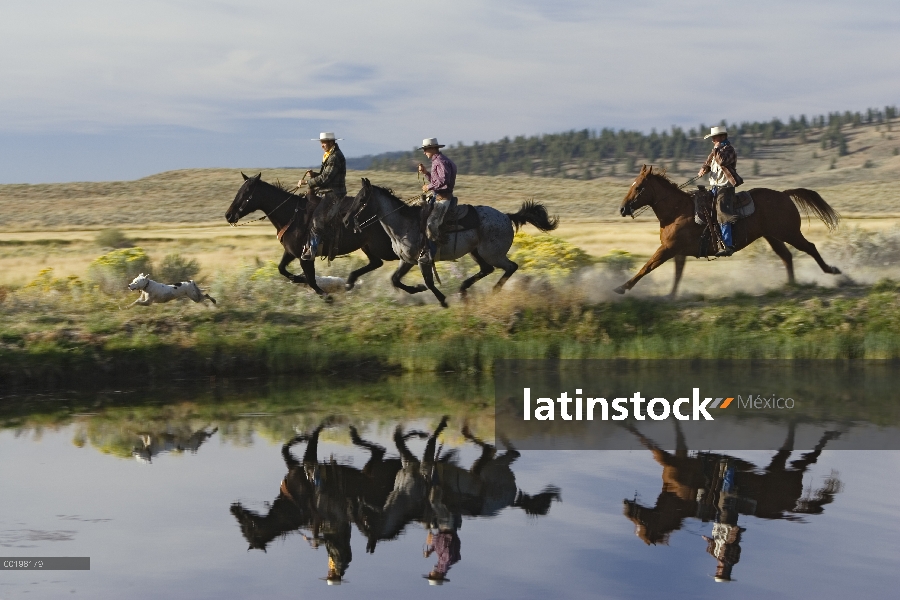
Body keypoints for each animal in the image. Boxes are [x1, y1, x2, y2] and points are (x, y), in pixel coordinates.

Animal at [344, 177, 556, 308]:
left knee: (511, 267)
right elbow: (395, 279)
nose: (346, 221)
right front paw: (417, 289)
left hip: (493, 254)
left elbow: (429, 282)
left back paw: (493, 291)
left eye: (362, 200)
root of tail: (507, 216)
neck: (404, 224)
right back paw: (463, 290)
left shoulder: (423, 260)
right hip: (476, 252)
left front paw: (443, 300)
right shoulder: (407, 261)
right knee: (487, 269)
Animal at [616, 165, 840, 296]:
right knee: (786, 256)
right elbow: (677, 274)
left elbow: (646, 267)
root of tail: (784, 195)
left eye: (639, 187)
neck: (677, 211)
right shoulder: (677, 251)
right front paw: (671, 295)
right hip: (773, 236)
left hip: (789, 233)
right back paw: (791, 285)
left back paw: (832, 270)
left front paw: (621, 288)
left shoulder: (668, 249)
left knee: (810, 247)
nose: (623, 209)